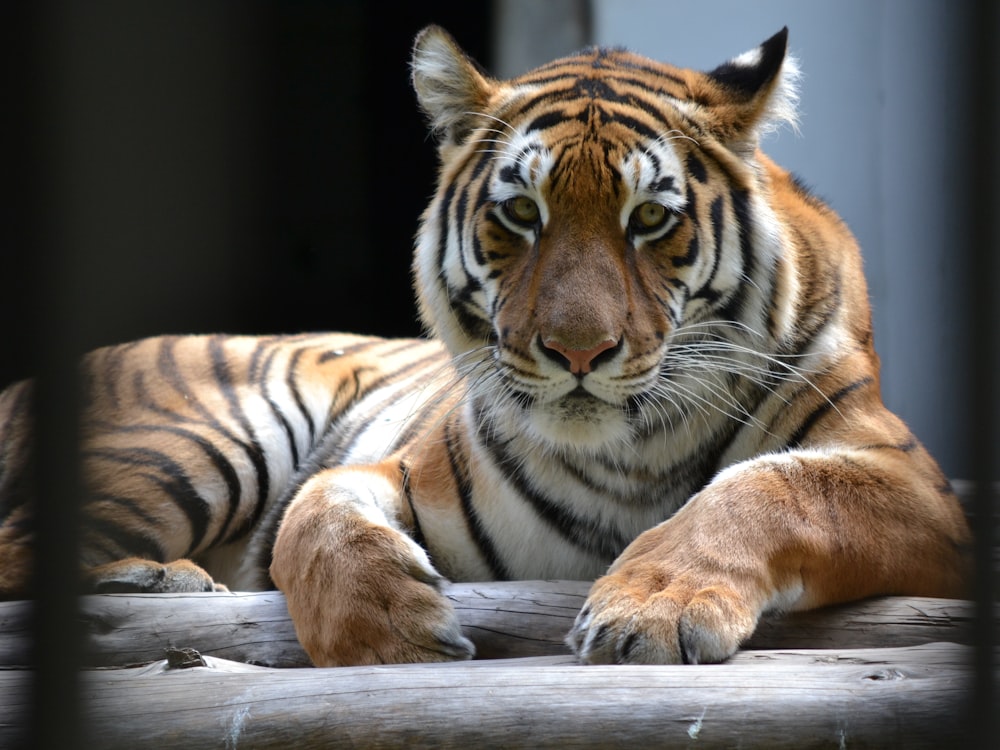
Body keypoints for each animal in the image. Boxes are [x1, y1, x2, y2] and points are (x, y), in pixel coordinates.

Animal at [0, 25, 968, 668]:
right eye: (520, 213)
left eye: (650, 219)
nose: (578, 352)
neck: (629, 458)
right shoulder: (397, 467)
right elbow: (316, 512)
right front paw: (386, 633)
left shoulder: (913, 485)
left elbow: (773, 490)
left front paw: (652, 610)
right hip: (199, 440)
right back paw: (156, 582)